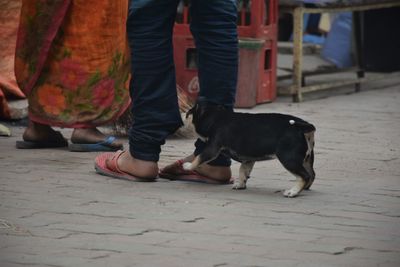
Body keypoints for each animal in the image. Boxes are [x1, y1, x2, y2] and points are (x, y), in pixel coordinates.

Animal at [183, 102, 318, 199]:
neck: (216, 117)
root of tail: (303, 126)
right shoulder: (248, 159)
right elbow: (243, 170)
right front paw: (241, 184)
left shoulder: (212, 148)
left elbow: (199, 158)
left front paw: (187, 166)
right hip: (307, 158)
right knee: (312, 174)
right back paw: (305, 188)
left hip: (289, 159)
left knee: (304, 176)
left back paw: (293, 192)